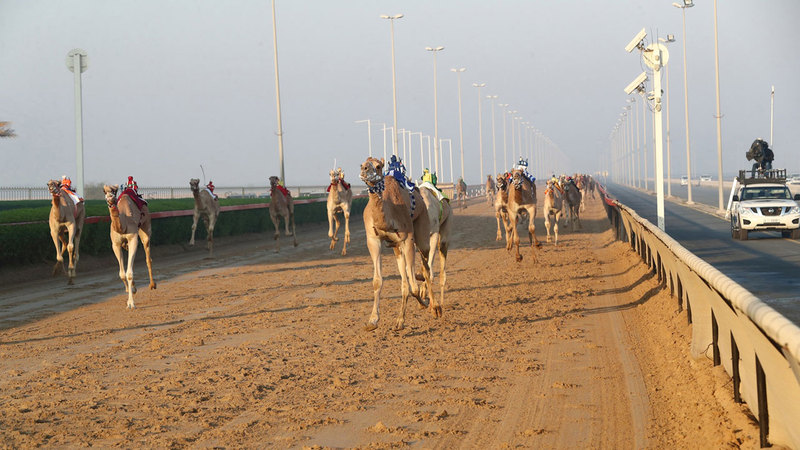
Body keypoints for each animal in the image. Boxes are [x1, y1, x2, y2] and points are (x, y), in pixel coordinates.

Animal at [360, 157, 440, 330]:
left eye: (378, 166)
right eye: (362, 164)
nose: (365, 170)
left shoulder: (407, 238)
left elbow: (415, 286)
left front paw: (425, 304)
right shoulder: (373, 240)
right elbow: (377, 281)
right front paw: (372, 320)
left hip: (422, 230)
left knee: (425, 269)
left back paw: (435, 307)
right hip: (396, 248)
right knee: (405, 278)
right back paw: (400, 320)